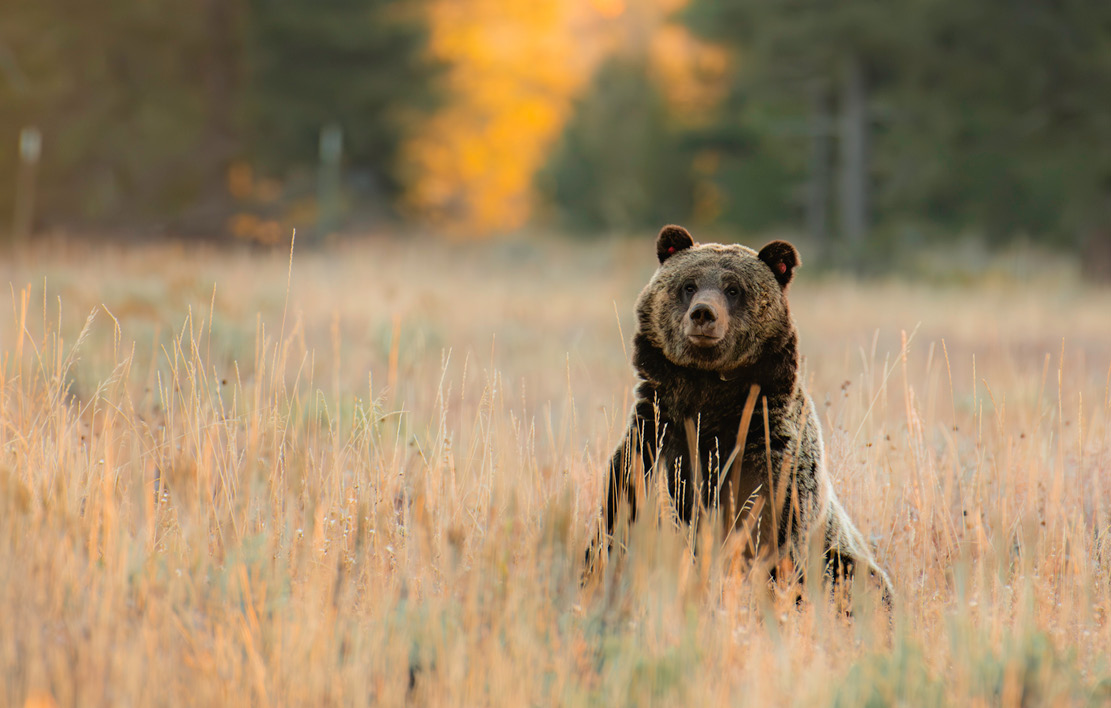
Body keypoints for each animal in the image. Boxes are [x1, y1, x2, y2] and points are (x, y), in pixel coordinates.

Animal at [587, 224, 892, 606]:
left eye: (733, 289)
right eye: (689, 285)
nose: (703, 313)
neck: (707, 395)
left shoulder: (765, 447)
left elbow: (762, 525)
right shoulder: (657, 436)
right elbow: (624, 513)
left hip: (837, 554)